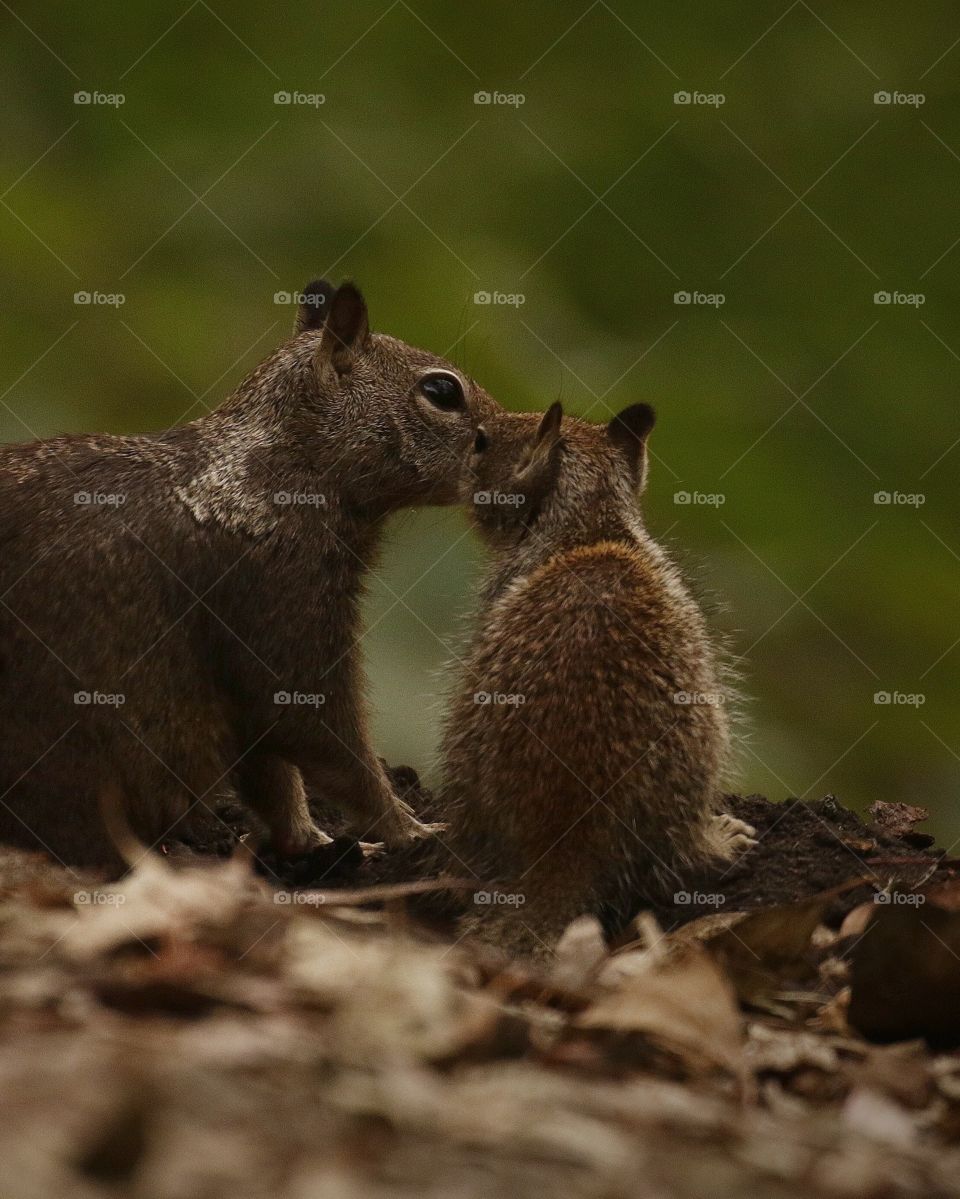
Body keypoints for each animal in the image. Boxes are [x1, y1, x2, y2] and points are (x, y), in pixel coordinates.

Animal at [0, 278, 493, 872]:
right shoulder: (282, 604)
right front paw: (410, 831)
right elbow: (324, 742)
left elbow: (272, 775)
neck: (280, 468)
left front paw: (313, 841)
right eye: (442, 391)